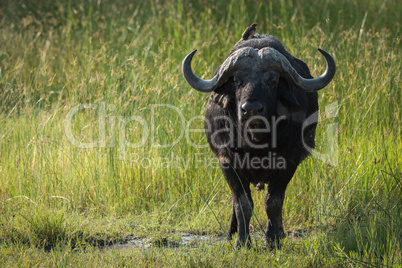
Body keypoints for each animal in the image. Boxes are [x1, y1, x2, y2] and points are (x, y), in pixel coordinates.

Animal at [181, 24, 334, 248]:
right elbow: (242, 203)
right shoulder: (227, 162)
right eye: (237, 80)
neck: (255, 140)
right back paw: (232, 231)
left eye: (272, 80)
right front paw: (242, 241)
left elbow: (273, 202)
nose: (251, 109)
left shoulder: (289, 160)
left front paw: (273, 239)